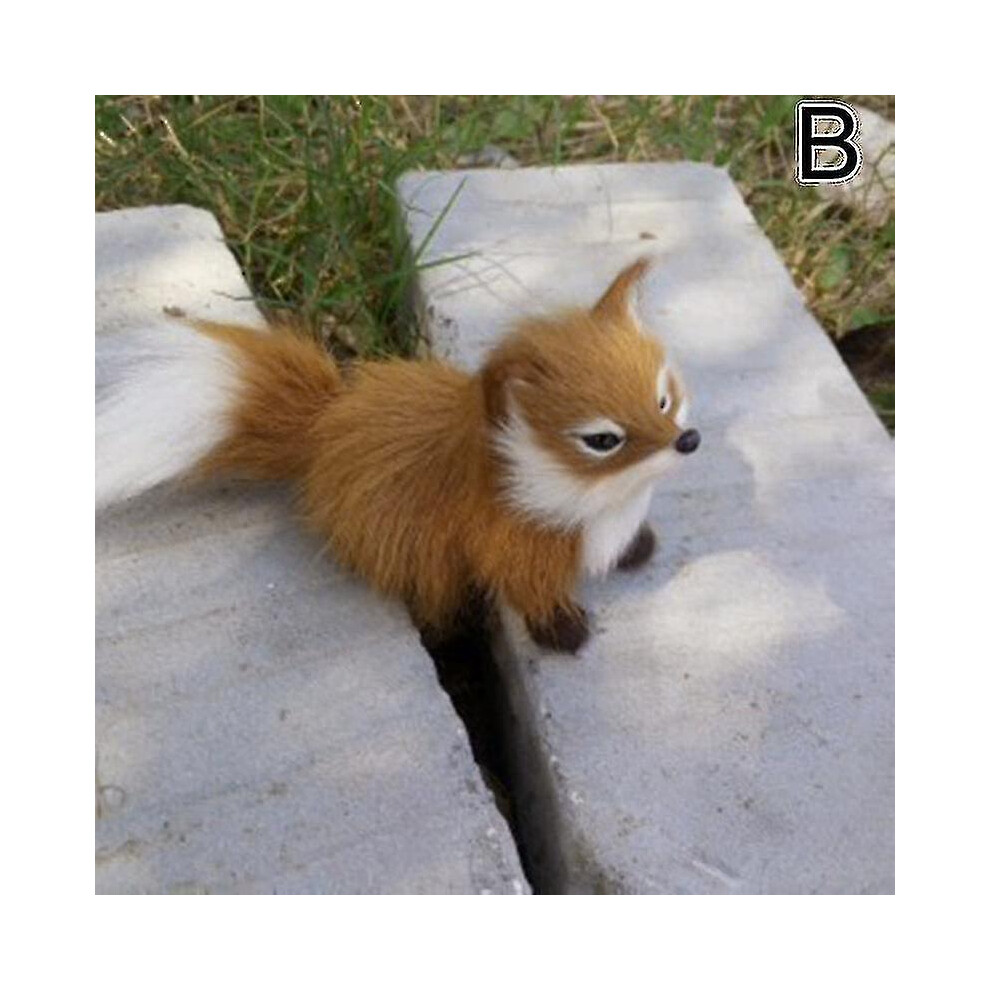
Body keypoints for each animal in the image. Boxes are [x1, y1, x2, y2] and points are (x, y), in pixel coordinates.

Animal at [96, 257, 700, 653]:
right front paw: (564, 632)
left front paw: (638, 548)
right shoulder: (512, 545)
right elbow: (532, 592)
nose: (687, 441)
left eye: (662, 399)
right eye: (602, 440)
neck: (597, 498)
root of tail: (323, 425)